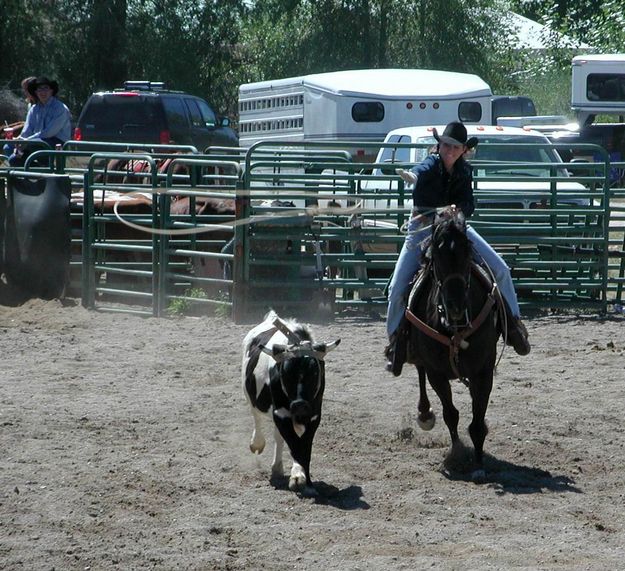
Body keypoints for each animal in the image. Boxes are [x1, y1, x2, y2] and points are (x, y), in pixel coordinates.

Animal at [244, 312, 342, 496]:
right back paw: (257, 443)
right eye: (285, 371)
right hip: (250, 395)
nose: (299, 405)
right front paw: (298, 477)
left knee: (279, 436)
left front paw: (306, 482)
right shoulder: (280, 413)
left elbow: (304, 449)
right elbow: (294, 445)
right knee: (256, 416)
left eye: (315, 372)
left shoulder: (314, 415)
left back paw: (278, 467)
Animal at [404, 207, 502, 482]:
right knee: (419, 371)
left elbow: (478, 420)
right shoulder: (436, 373)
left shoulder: (483, 371)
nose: (456, 305)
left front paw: (478, 463)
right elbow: (451, 414)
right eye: (436, 255)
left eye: (467, 251)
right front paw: (457, 452)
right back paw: (424, 414)